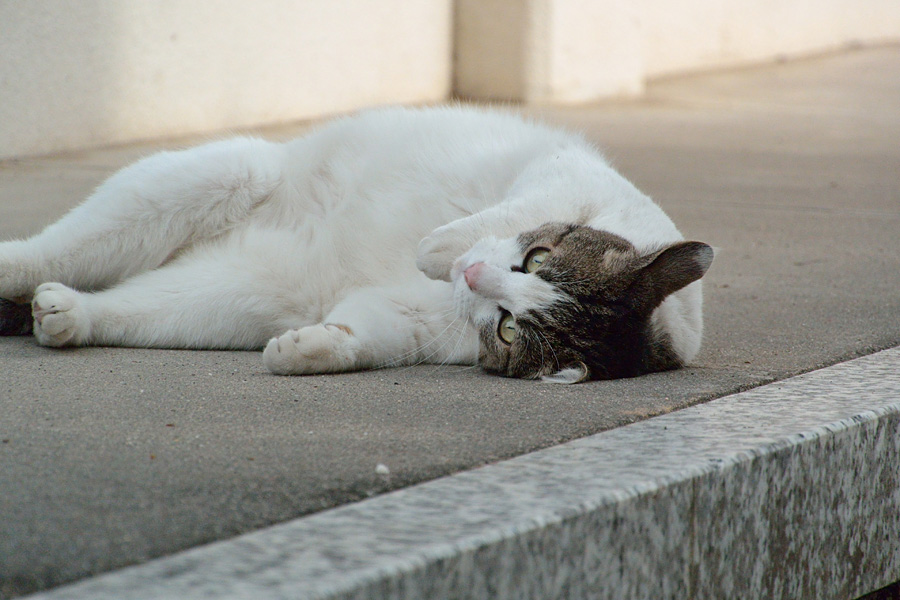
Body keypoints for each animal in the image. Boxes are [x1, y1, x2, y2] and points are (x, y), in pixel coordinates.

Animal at [0, 105, 712, 382]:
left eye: (509, 329)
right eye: (537, 258)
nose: (471, 277)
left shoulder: (407, 325)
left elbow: (362, 336)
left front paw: (305, 351)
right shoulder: (562, 174)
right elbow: (497, 213)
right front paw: (439, 249)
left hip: (229, 298)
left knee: (123, 302)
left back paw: (66, 315)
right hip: (221, 175)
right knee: (47, 252)